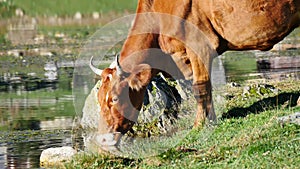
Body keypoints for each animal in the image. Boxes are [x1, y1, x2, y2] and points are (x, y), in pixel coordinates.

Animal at [89, 0, 300, 145]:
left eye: (115, 98)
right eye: (98, 99)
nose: (103, 139)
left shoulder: (199, 46)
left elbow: (201, 88)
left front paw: (198, 125)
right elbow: (206, 88)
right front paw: (212, 120)